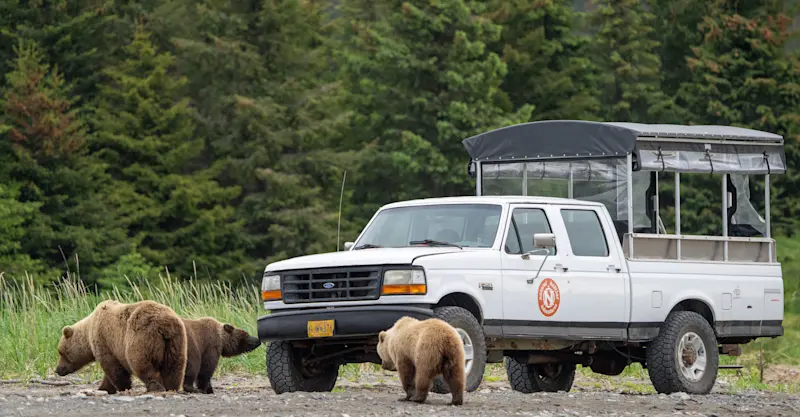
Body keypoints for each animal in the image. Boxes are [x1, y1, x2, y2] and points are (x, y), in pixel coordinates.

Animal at [55, 299, 188, 394]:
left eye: (61, 352)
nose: (58, 370)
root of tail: (164, 325)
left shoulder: (105, 340)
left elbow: (113, 368)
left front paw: (123, 387)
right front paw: (104, 388)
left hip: (141, 337)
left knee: (141, 363)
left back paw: (154, 387)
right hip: (175, 342)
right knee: (174, 367)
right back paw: (172, 387)